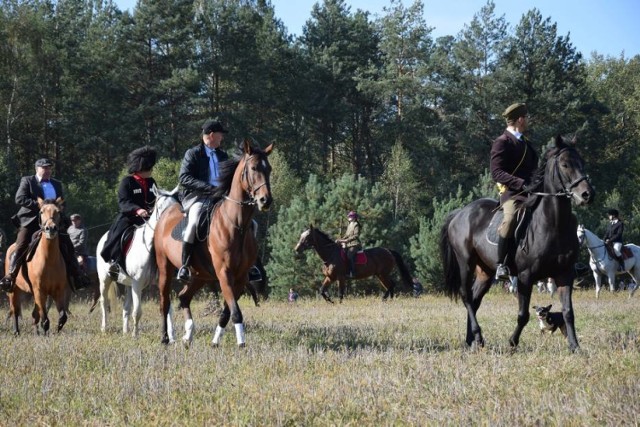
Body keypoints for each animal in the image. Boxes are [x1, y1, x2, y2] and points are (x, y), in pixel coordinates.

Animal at [5, 199, 70, 336]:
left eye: (58, 212)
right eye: (41, 211)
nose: (51, 228)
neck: (49, 259)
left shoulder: (58, 291)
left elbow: (62, 316)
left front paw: (56, 331)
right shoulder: (40, 291)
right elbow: (45, 319)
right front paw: (46, 334)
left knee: (34, 314)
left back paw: (36, 332)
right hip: (14, 290)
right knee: (15, 311)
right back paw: (16, 332)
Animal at [96, 186, 179, 340]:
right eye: (160, 207)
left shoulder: (163, 282)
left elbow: (168, 309)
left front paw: (171, 337)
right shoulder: (137, 283)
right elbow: (138, 311)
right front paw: (135, 336)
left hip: (128, 284)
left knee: (126, 307)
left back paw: (125, 331)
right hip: (105, 279)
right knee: (104, 302)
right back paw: (104, 329)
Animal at [158, 140, 276, 348]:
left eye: (268, 169)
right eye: (253, 168)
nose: (265, 200)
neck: (237, 225)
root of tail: (165, 214)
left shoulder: (240, 278)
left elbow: (227, 311)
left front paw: (215, 341)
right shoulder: (224, 274)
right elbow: (236, 312)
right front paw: (241, 343)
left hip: (200, 276)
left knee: (184, 297)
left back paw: (188, 335)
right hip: (165, 268)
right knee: (165, 302)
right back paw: (165, 338)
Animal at [440, 136, 596, 352]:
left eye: (582, 163)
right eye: (565, 165)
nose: (587, 194)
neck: (553, 223)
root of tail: (460, 213)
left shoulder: (565, 274)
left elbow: (568, 312)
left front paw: (575, 347)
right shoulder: (525, 276)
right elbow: (523, 315)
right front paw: (512, 343)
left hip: (485, 271)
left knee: (475, 299)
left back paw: (471, 340)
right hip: (466, 263)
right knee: (467, 297)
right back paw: (478, 337)